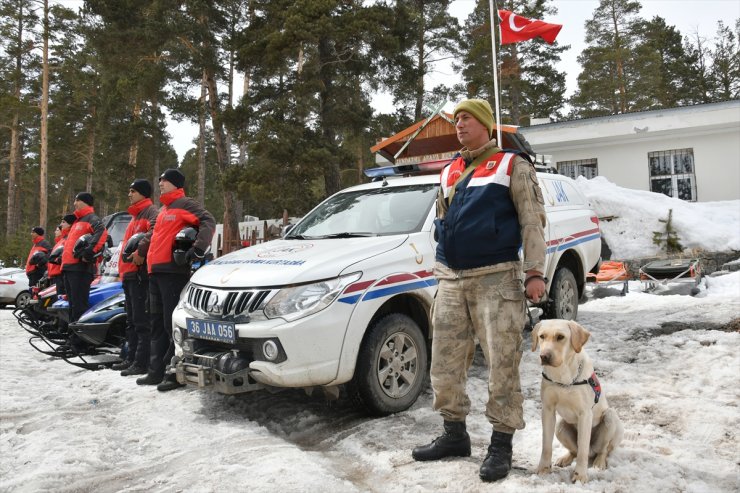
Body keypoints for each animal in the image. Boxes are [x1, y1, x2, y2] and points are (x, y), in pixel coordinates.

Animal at [532, 318, 624, 482]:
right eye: (541, 336)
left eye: (560, 337)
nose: (544, 356)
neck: (562, 376)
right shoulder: (547, 410)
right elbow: (546, 445)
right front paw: (543, 469)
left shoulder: (585, 414)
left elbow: (582, 450)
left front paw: (580, 475)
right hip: (560, 424)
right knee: (574, 451)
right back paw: (565, 458)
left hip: (610, 417)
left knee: (602, 450)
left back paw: (599, 462)